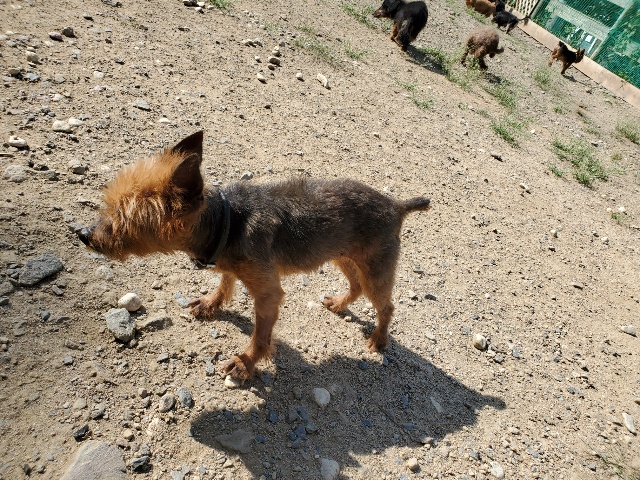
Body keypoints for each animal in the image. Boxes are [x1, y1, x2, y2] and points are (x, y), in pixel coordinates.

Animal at [78, 132, 431, 381]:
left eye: (123, 220)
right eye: (108, 205)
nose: (82, 234)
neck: (226, 221)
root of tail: (396, 205)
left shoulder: (267, 291)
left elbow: (261, 336)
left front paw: (245, 363)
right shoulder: (230, 264)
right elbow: (225, 282)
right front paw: (211, 304)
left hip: (375, 267)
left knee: (386, 306)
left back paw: (379, 340)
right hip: (343, 255)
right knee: (356, 286)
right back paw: (340, 304)